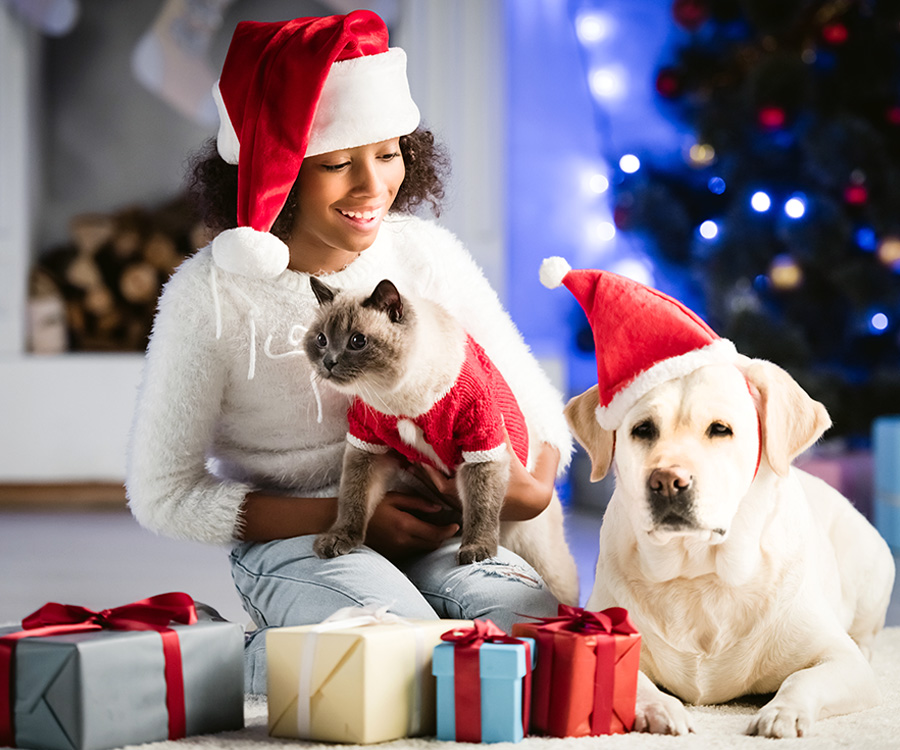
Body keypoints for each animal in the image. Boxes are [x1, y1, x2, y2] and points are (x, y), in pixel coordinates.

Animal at [304, 280, 528, 568]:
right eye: (321, 340)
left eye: (357, 341)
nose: (328, 362)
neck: (397, 397)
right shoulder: (368, 446)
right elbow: (353, 498)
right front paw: (339, 539)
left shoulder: (481, 448)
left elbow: (481, 506)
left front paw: (477, 549)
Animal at [568, 360, 896, 740]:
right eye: (644, 429)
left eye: (720, 429)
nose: (667, 481)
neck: (699, 574)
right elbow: (629, 679)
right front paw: (661, 708)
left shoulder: (841, 658)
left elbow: (802, 679)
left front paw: (782, 713)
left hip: (871, 565)